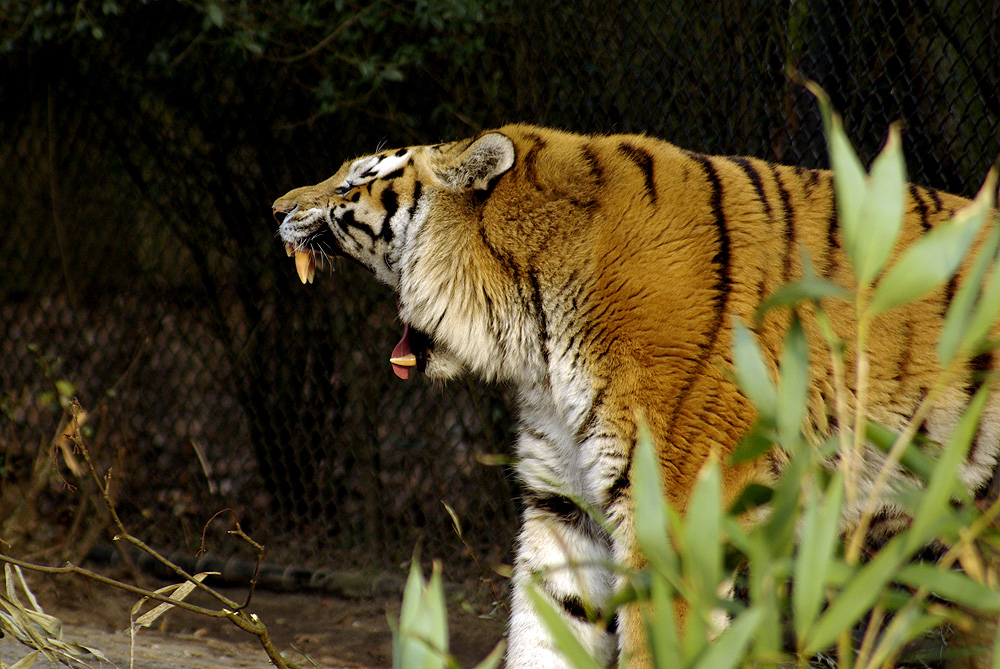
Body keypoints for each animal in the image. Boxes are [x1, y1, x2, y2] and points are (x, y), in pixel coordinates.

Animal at [272, 122, 1000, 664]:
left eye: (353, 182)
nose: (277, 210)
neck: (534, 339)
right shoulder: (563, 504)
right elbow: (544, 634)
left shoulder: (677, 512)